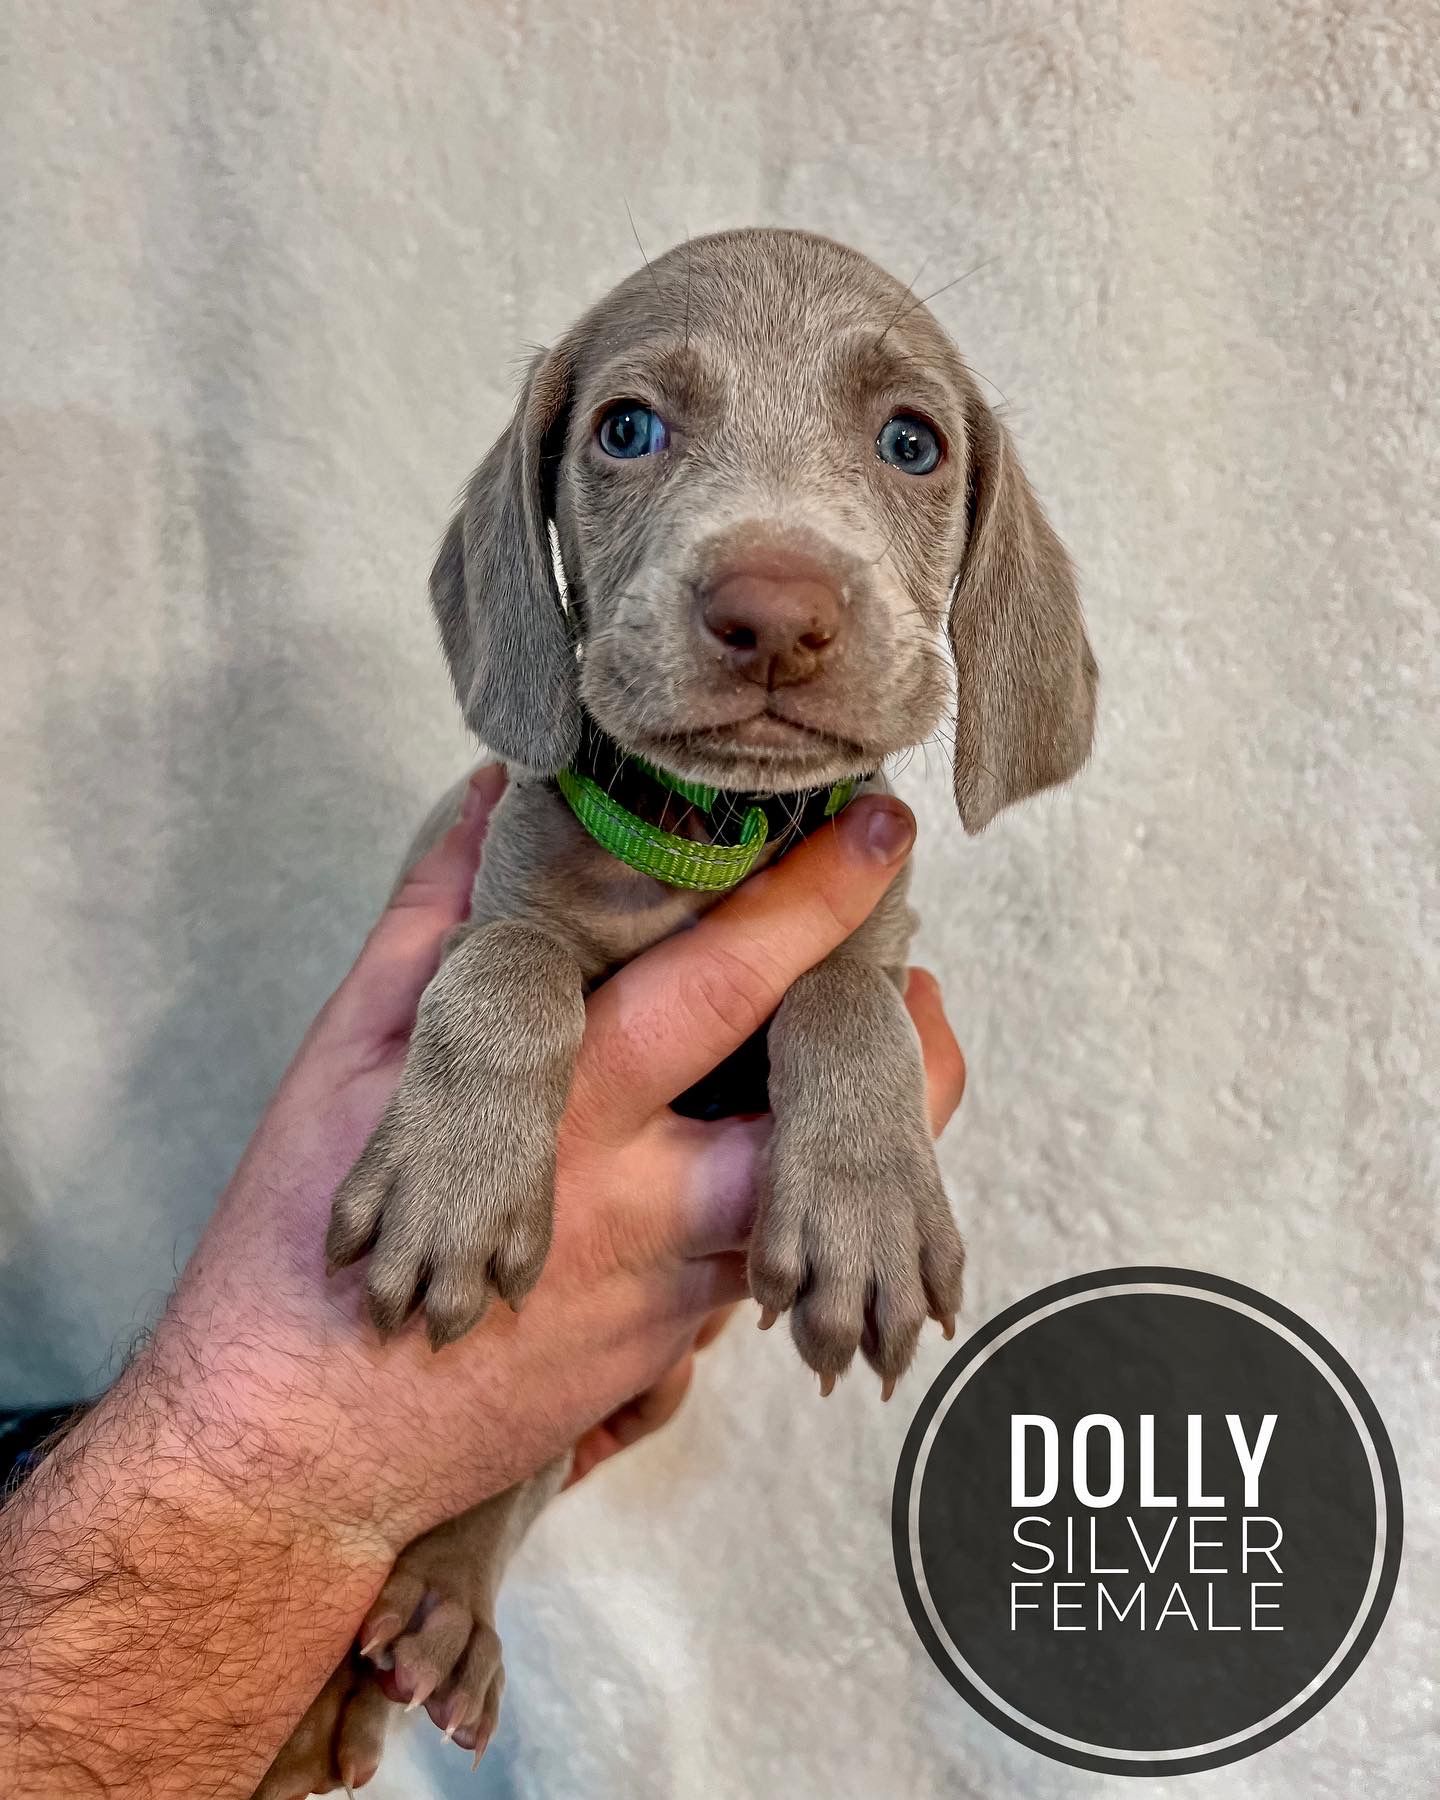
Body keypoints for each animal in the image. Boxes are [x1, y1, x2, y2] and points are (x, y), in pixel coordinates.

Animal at [254, 226, 1096, 1797]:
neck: (706, 837)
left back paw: (436, 1615)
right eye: (628, 429)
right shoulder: (486, 878)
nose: (774, 612)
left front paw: (864, 1207)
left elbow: (847, 999)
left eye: (912, 442)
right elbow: (505, 969)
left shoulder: (874, 931)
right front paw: (453, 1186)